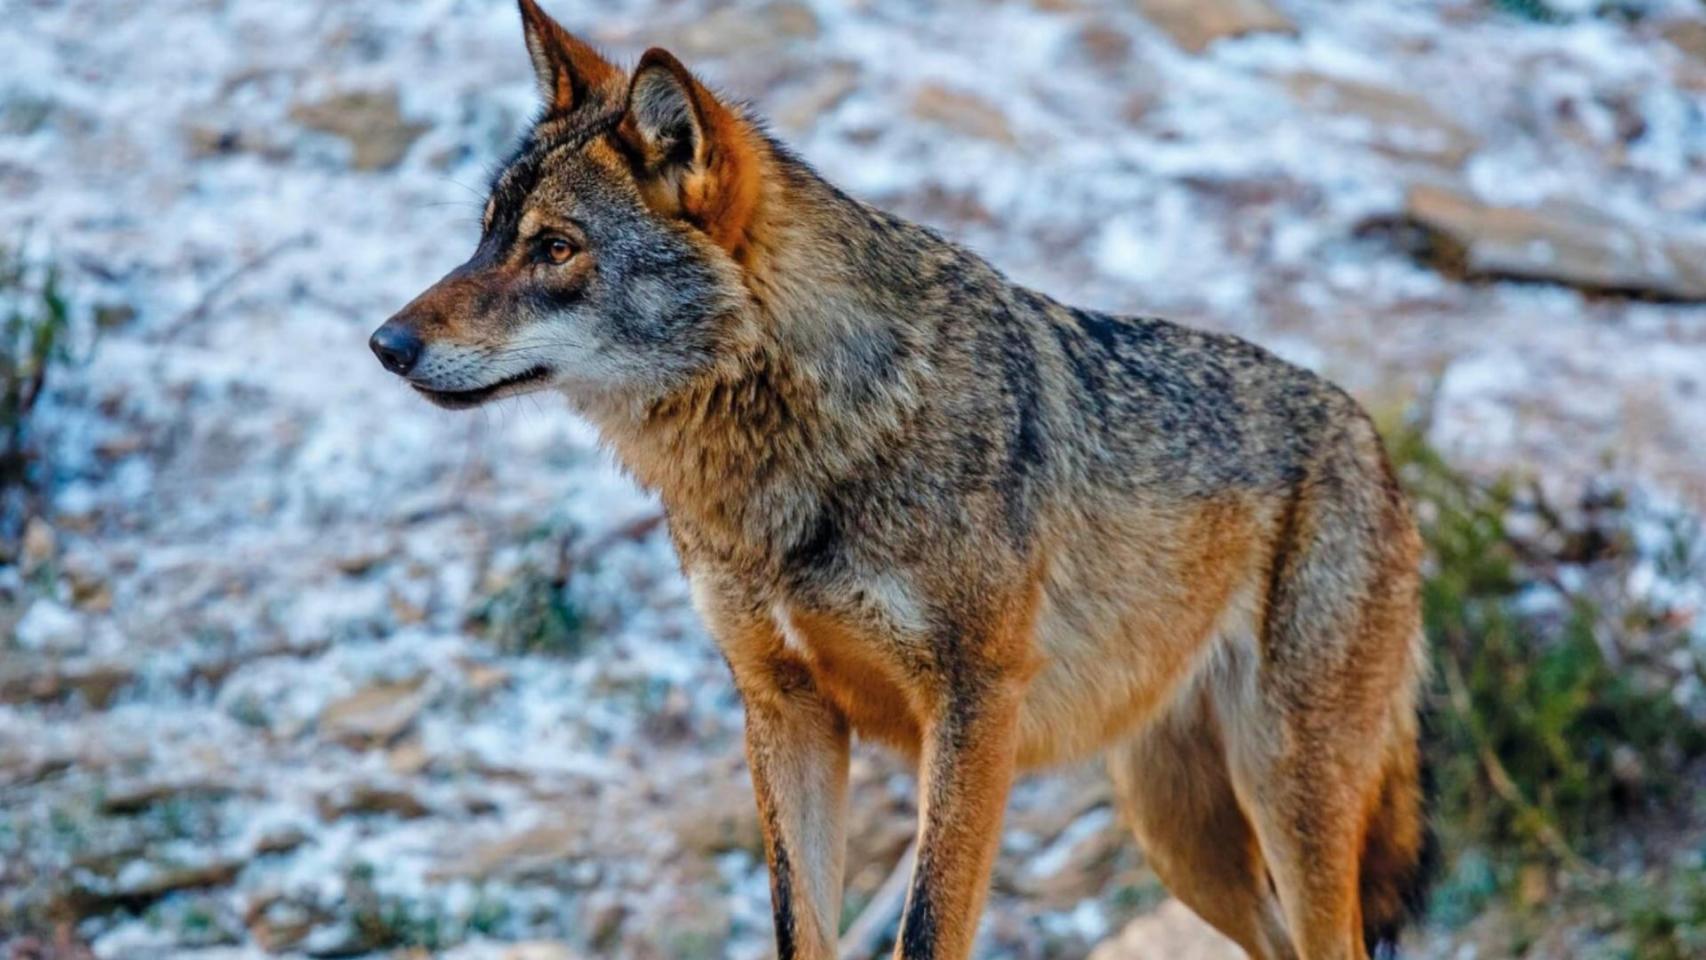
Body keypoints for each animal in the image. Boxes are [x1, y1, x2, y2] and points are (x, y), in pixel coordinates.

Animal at [368, 3, 1432, 957]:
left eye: (555, 247)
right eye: (485, 235)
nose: (385, 345)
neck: (796, 456)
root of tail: (1370, 440)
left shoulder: (973, 708)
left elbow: (927, 928)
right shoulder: (783, 707)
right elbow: (799, 927)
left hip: (1284, 798)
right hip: (1178, 834)